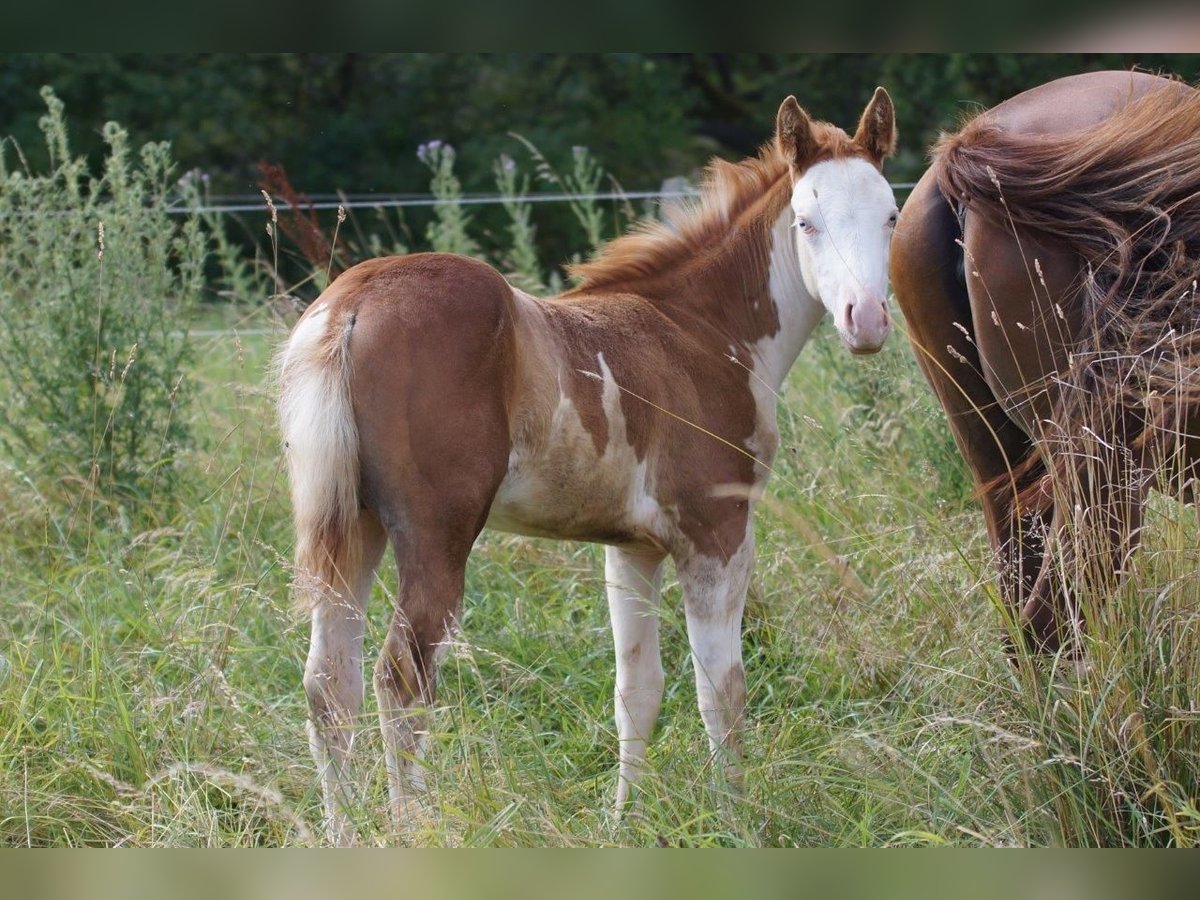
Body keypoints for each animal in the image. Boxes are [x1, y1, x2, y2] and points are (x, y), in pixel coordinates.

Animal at [280, 88, 897, 844]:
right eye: (807, 223)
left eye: (890, 215)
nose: (866, 320)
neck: (699, 334)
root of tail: (352, 303)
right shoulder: (717, 534)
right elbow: (721, 690)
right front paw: (737, 822)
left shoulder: (631, 548)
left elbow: (638, 691)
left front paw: (623, 823)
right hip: (434, 536)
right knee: (400, 678)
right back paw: (412, 831)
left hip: (353, 527)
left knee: (328, 684)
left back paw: (343, 833)